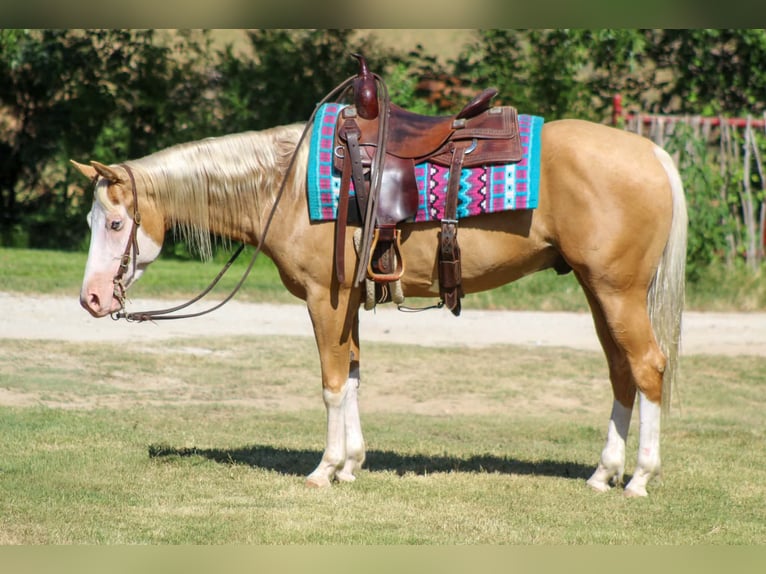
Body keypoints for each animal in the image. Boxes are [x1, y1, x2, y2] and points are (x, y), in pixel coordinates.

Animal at [72, 115, 687, 498]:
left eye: (116, 224)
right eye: (91, 221)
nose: (92, 298)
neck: (285, 187)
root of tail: (653, 153)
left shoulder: (325, 299)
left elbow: (330, 382)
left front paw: (324, 470)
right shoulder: (348, 304)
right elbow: (353, 376)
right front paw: (352, 465)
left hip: (617, 292)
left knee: (648, 367)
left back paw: (639, 479)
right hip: (598, 291)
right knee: (622, 373)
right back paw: (604, 473)